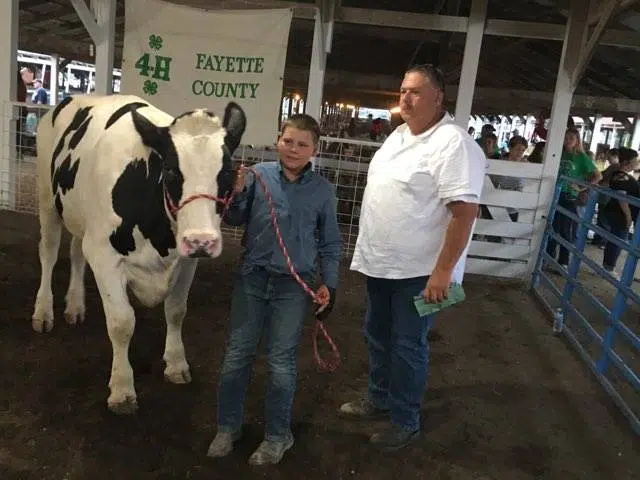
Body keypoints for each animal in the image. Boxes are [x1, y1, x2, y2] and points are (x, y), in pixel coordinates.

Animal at [31, 94, 246, 414]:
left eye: (229, 172)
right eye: (170, 170)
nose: (201, 240)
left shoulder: (188, 260)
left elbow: (176, 310)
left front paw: (176, 364)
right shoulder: (104, 255)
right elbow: (122, 323)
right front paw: (122, 389)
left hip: (81, 219)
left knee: (76, 252)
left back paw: (75, 306)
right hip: (47, 199)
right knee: (49, 252)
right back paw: (44, 312)